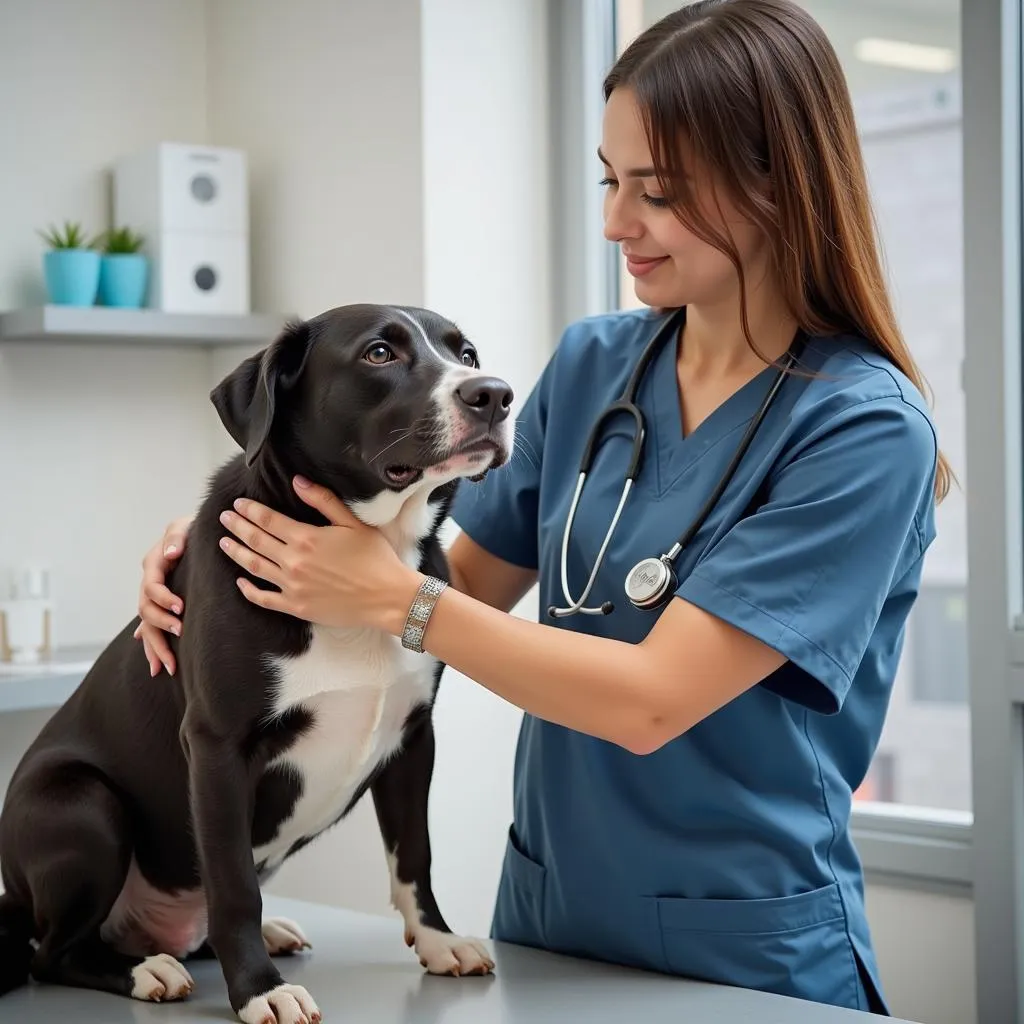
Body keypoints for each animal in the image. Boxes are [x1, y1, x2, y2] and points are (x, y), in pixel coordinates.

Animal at [0, 301, 516, 1024]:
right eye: (379, 352)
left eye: (466, 354)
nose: (494, 394)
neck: (368, 551)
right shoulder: (218, 746)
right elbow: (234, 883)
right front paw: (259, 990)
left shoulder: (414, 739)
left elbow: (414, 854)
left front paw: (438, 939)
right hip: (81, 805)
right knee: (52, 953)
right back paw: (145, 970)